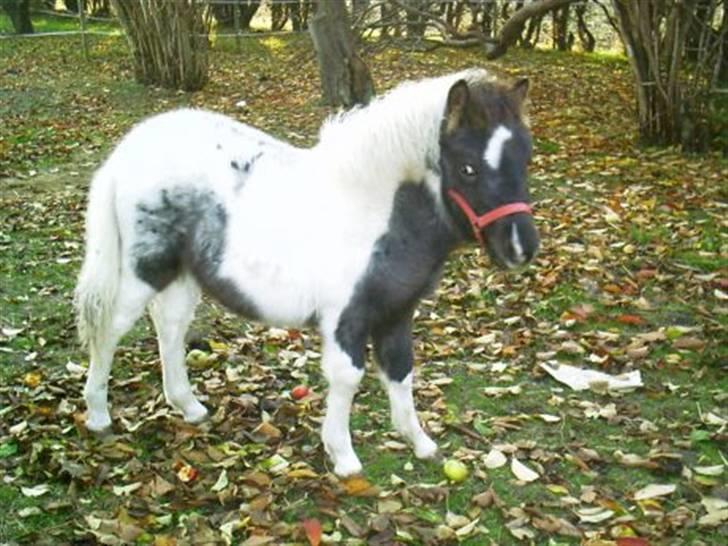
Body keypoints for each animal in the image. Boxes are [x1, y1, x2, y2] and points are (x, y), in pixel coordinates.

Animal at [74, 68, 539, 477]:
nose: (521, 247)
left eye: (525, 159)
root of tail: (127, 152)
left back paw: (188, 407)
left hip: (182, 274)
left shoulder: (396, 313)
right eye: (467, 168)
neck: (377, 211)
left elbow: (401, 371)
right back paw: (98, 416)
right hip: (144, 270)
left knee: (169, 327)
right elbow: (348, 377)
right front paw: (344, 457)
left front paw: (420, 443)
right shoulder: (345, 318)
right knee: (111, 328)